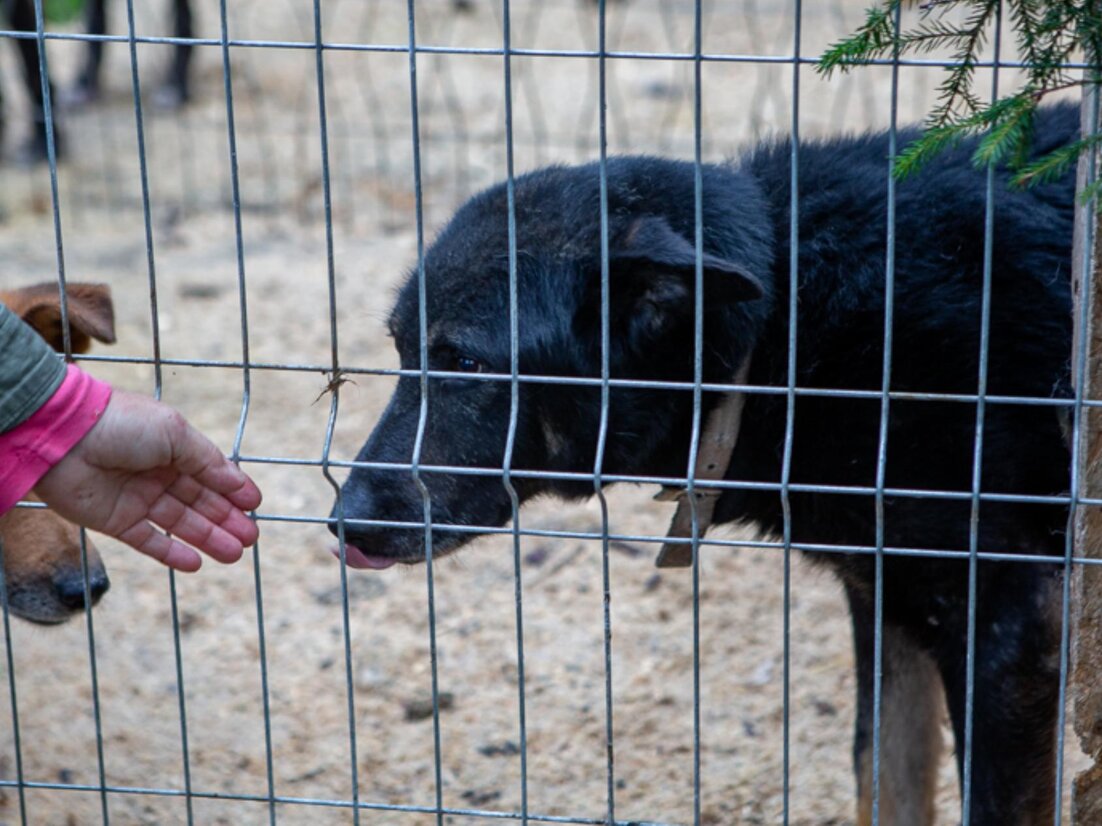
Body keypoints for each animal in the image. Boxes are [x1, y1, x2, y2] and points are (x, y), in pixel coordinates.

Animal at [332, 105, 1075, 826]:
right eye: (401, 349)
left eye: (466, 362)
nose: (342, 523)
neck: (787, 329)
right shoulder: (887, 606)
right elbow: (882, 782)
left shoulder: (1012, 627)